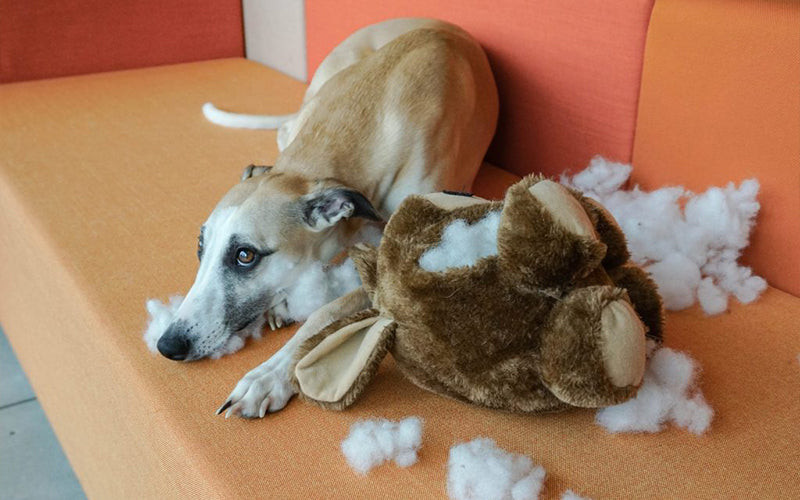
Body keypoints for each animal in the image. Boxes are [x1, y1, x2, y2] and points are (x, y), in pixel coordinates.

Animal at [156, 18, 496, 418]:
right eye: (200, 246)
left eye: (245, 255)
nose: (168, 345)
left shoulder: (397, 268)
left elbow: (326, 313)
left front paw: (268, 376)